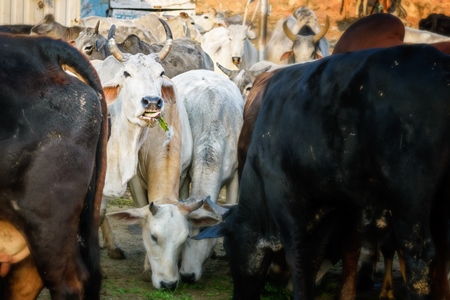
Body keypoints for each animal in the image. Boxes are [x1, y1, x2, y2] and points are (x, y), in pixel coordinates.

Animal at [194, 44, 450, 300]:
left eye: (229, 247)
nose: (239, 294)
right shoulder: (328, 207)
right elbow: (315, 255)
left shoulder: (284, 198)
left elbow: (298, 255)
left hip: (409, 196)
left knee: (418, 256)